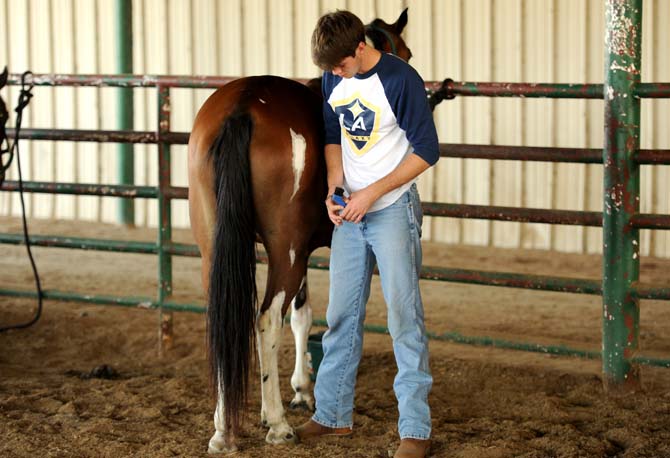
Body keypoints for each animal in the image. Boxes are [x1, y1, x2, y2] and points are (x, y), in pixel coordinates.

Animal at [186, 8, 412, 452]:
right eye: (407, 52)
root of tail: (242, 106)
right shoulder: (301, 249)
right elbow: (301, 317)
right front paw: (299, 394)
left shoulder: (301, 251)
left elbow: (302, 315)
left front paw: (298, 390)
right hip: (283, 250)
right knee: (265, 319)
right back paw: (276, 425)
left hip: (216, 251)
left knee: (224, 324)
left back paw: (222, 430)